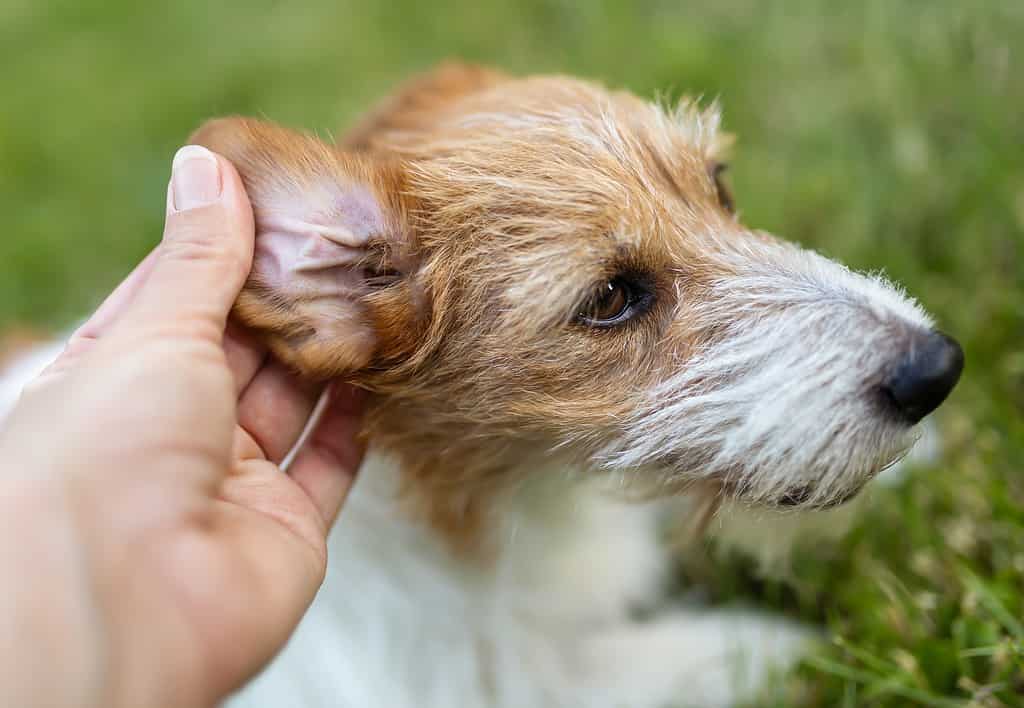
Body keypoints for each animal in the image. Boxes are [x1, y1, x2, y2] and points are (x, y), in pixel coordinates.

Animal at [0, 63, 962, 704]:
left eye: (718, 187)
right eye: (610, 300)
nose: (937, 368)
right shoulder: (535, 683)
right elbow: (713, 654)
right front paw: (796, 643)